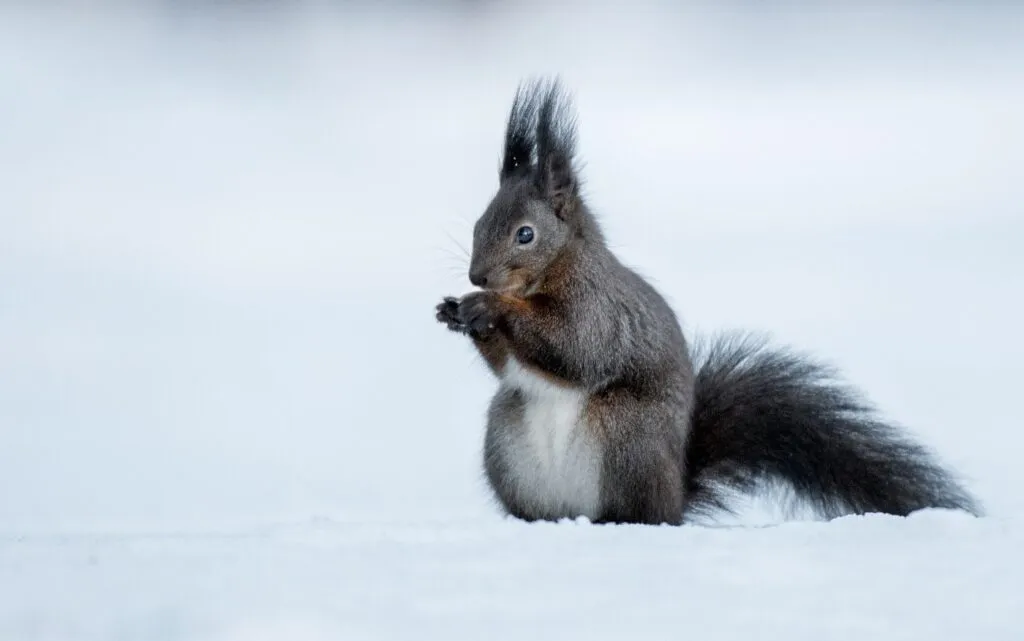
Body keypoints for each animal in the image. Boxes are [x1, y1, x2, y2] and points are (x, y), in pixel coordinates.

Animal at [434, 77, 983, 524]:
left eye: (525, 234)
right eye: (480, 223)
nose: (477, 275)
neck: (554, 269)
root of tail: (674, 497)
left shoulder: (598, 307)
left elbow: (575, 347)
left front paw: (489, 307)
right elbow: (511, 366)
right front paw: (454, 311)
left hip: (626, 436)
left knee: (638, 513)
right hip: (507, 439)